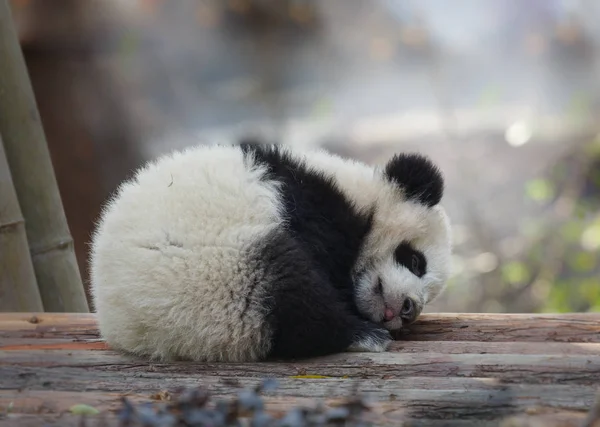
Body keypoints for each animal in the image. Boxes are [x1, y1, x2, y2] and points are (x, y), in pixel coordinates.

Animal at [90, 142, 450, 362]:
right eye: (415, 260)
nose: (408, 309)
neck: (357, 192)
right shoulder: (308, 202)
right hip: (212, 274)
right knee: (289, 286)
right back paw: (362, 334)